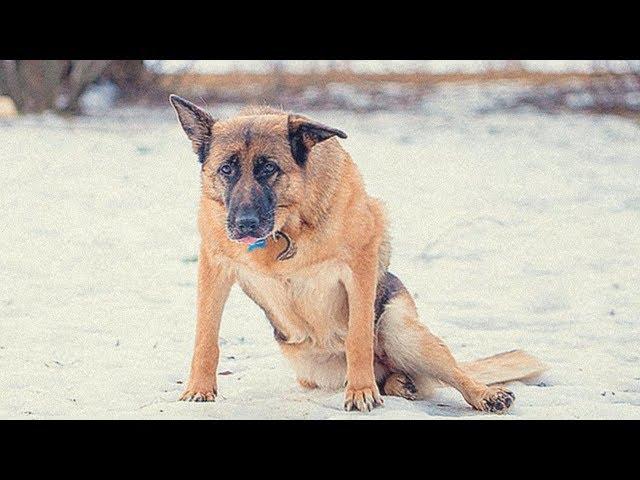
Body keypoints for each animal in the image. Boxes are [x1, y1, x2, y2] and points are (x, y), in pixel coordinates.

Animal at [170, 95, 544, 414]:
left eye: (268, 168)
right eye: (227, 169)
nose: (244, 224)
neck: (286, 231)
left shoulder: (360, 264)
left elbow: (358, 336)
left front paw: (361, 392)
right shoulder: (214, 267)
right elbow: (206, 336)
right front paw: (199, 389)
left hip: (401, 332)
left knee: (453, 372)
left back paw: (483, 394)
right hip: (314, 368)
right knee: (397, 377)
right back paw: (399, 383)